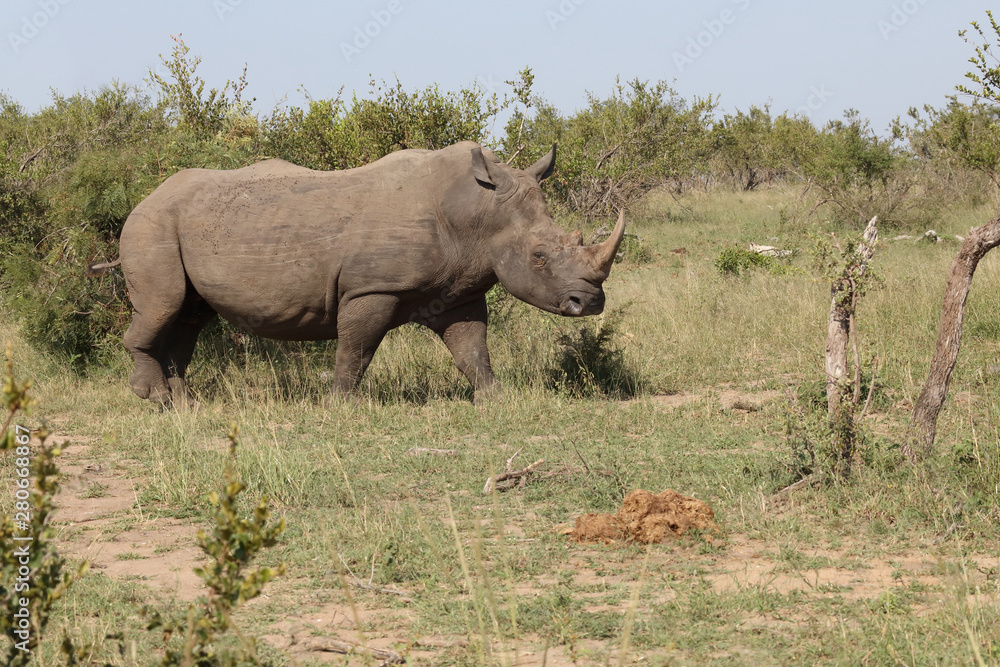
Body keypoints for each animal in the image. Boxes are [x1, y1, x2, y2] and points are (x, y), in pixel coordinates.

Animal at [100, 141, 625, 405]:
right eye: (539, 256)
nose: (590, 303)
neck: (476, 211)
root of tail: (144, 197)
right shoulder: (371, 288)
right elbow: (358, 346)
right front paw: (342, 405)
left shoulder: (459, 290)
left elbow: (472, 347)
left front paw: (496, 399)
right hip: (151, 226)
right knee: (165, 305)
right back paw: (153, 399)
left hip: (180, 224)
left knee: (190, 315)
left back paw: (183, 403)